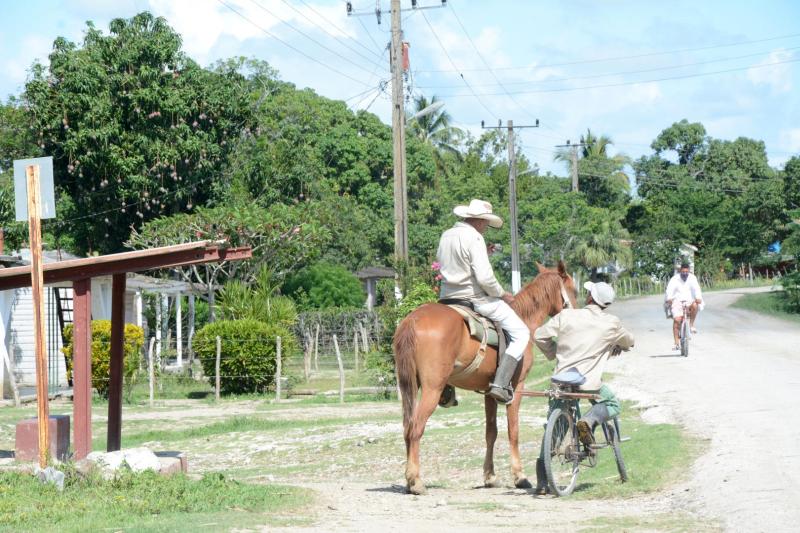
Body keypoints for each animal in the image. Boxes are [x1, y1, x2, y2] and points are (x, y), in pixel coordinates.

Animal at [392, 260, 576, 492]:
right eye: (574, 290)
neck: (523, 317)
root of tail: (413, 319)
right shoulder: (516, 388)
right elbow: (513, 431)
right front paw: (519, 476)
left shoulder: (490, 392)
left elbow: (491, 433)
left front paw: (490, 477)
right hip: (432, 389)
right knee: (416, 428)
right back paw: (415, 481)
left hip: (409, 386)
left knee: (407, 428)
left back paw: (409, 480)